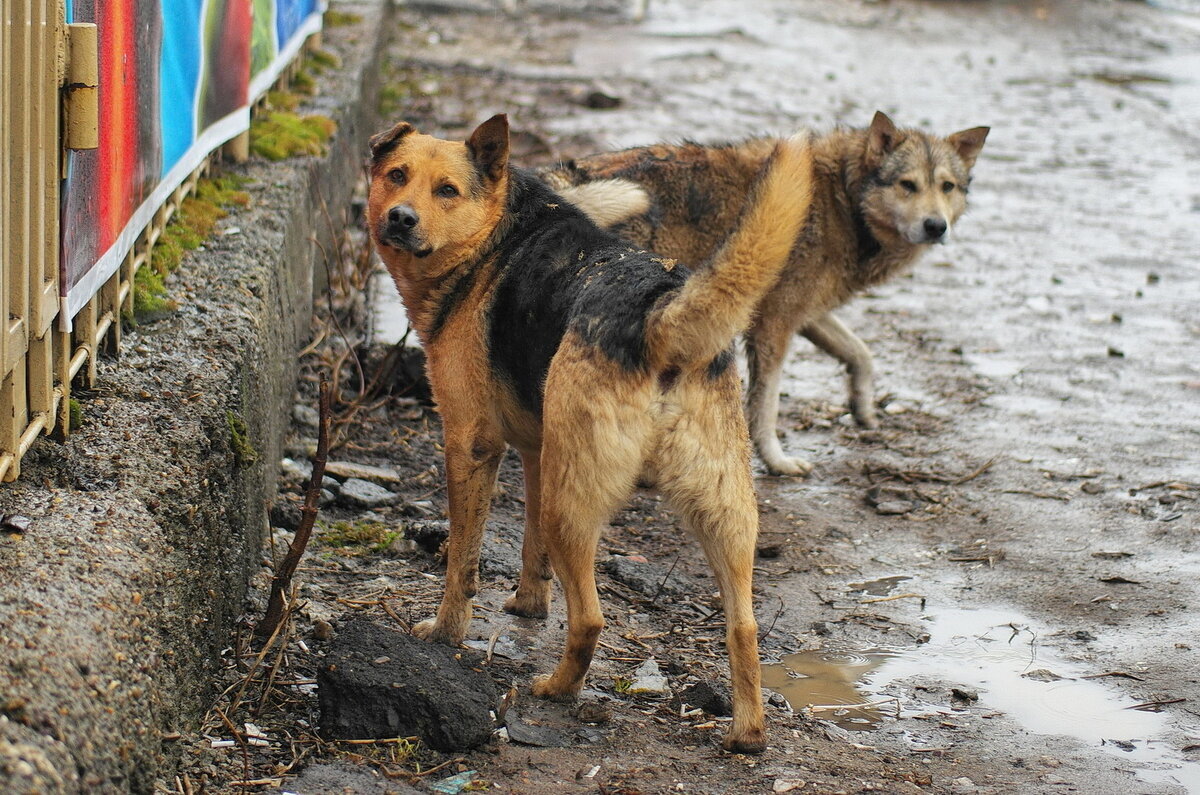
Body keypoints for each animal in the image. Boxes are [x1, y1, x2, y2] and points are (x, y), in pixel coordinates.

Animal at [367, 113, 816, 754]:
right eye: (396, 175)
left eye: (446, 191)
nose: (401, 217)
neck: (496, 234)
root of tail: (656, 315)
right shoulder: (537, 452)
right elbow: (529, 547)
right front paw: (528, 604)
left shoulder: (472, 447)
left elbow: (462, 563)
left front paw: (446, 631)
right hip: (723, 514)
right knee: (744, 628)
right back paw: (747, 733)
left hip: (571, 507)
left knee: (589, 619)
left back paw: (557, 689)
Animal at [544, 110, 984, 473]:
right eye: (908, 185)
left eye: (947, 187)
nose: (936, 226)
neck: (843, 198)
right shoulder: (774, 325)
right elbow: (767, 405)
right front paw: (777, 461)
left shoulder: (806, 314)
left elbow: (862, 355)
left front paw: (863, 409)